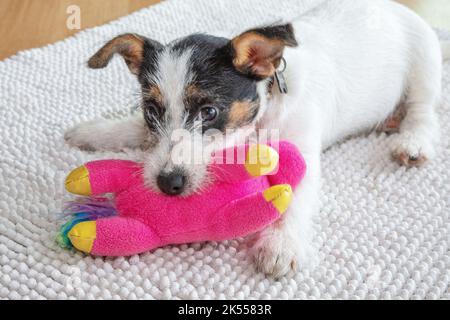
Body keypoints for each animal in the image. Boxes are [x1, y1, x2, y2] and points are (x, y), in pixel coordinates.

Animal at [65, 0, 448, 276]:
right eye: (151, 111)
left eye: (209, 112)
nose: (167, 183)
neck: (268, 104)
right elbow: (133, 128)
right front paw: (92, 131)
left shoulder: (302, 151)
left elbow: (294, 194)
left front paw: (281, 244)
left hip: (424, 68)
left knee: (423, 112)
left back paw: (411, 143)